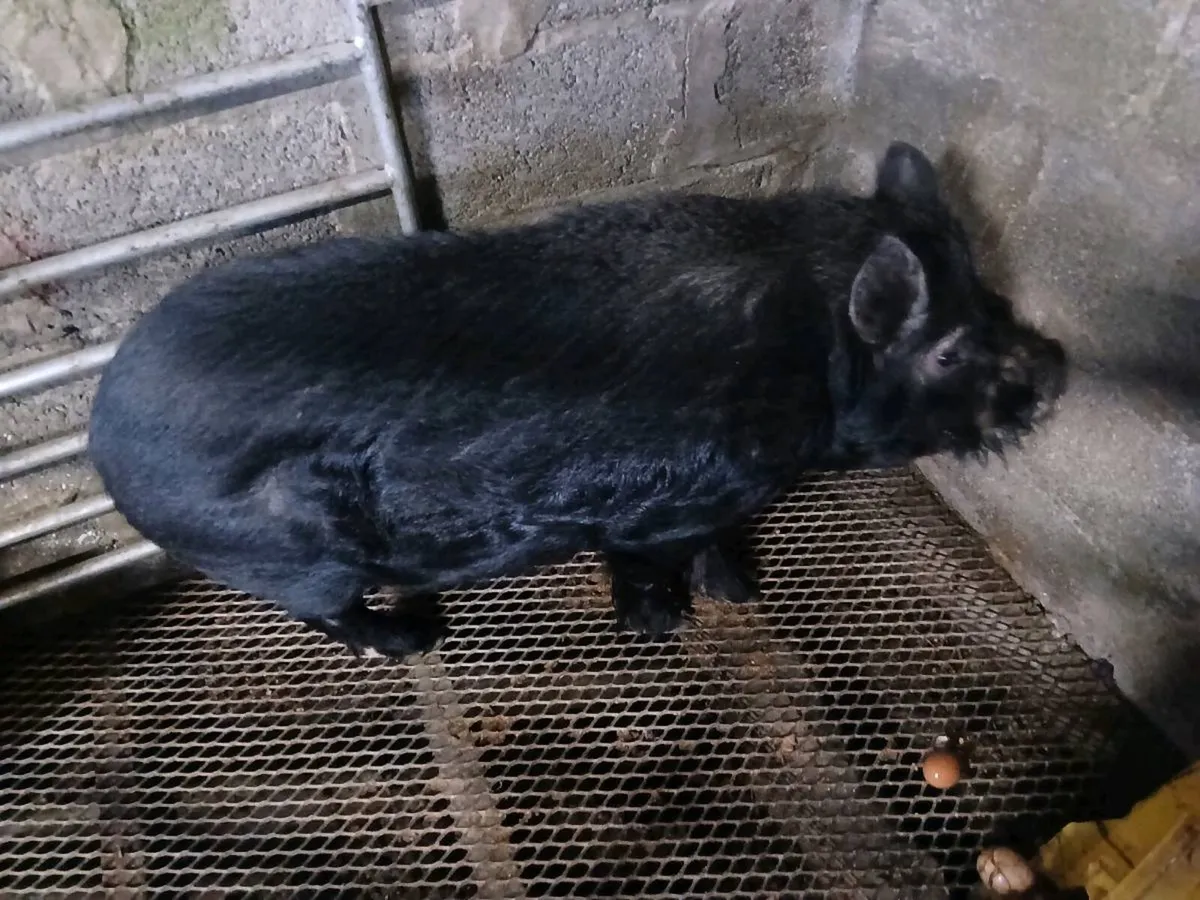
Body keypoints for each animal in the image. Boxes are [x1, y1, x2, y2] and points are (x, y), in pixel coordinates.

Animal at [87, 142, 1067, 658]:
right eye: (946, 349)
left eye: (992, 295)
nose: (1058, 366)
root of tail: (105, 434)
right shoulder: (648, 511)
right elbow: (641, 564)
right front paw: (664, 625)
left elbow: (720, 540)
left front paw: (741, 591)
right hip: (289, 555)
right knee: (322, 609)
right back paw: (412, 641)